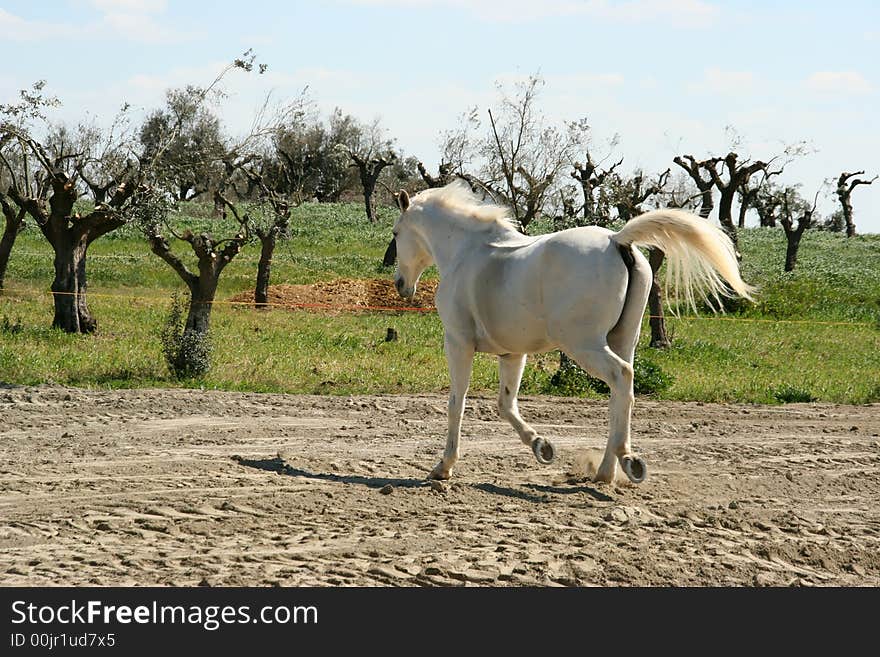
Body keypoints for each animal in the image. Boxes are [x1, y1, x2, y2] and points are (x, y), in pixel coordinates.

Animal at [384, 182, 748, 484]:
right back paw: (608, 471)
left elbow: (456, 404)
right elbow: (505, 403)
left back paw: (625, 460)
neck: (466, 252)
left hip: (584, 345)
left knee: (621, 376)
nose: (401, 286)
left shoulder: (458, 343)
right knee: (621, 391)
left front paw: (442, 467)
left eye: (397, 233)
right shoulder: (512, 353)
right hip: (622, 339)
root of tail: (617, 241)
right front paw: (542, 447)